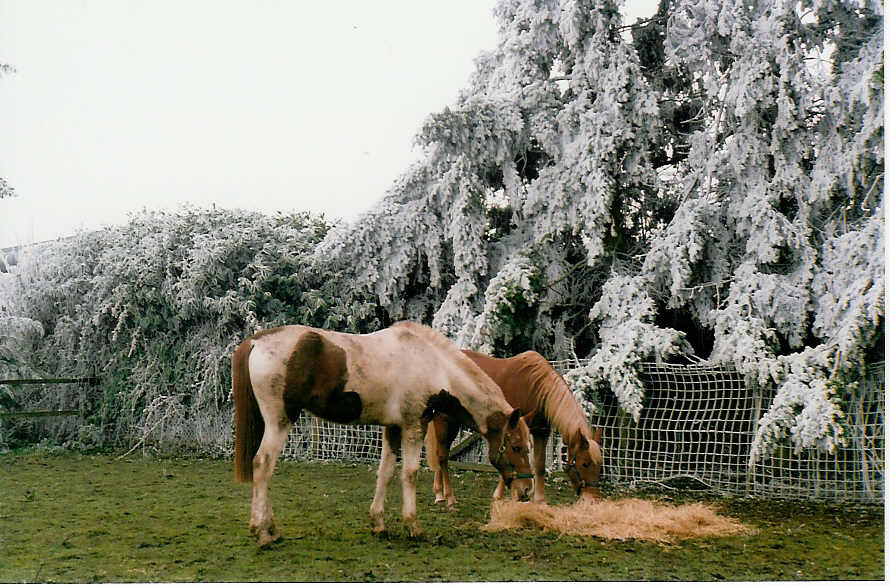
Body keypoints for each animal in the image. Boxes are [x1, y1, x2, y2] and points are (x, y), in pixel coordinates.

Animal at [232, 320, 532, 544]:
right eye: (516, 446)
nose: (527, 490)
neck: (433, 365)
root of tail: (256, 342)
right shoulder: (414, 426)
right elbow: (410, 474)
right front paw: (412, 526)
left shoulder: (393, 429)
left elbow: (385, 472)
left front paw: (378, 523)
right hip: (279, 422)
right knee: (262, 465)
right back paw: (263, 532)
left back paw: (271, 529)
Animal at [424, 350, 604, 504]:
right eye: (585, 463)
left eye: (600, 466)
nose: (593, 499)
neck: (536, 388)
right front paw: (509, 495)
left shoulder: (540, 432)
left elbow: (539, 466)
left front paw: (539, 500)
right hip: (445, 420)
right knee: (442, 455)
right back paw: (446, 496)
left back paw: (439, 494)